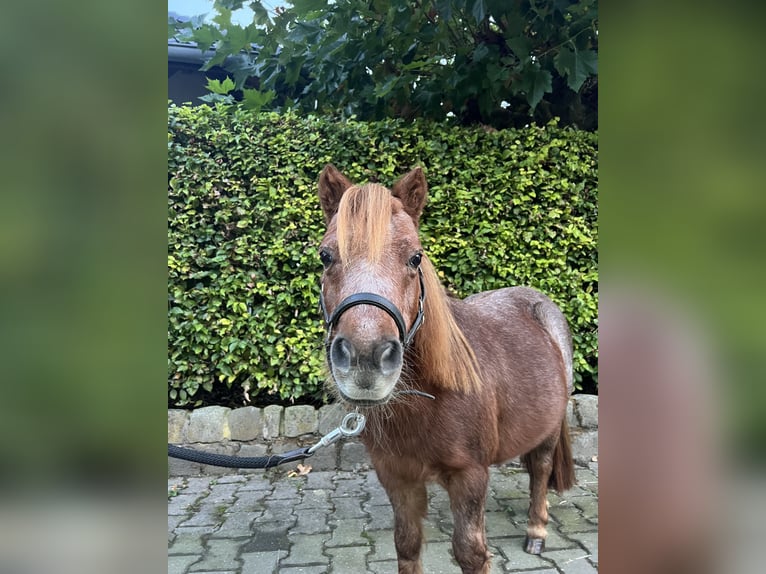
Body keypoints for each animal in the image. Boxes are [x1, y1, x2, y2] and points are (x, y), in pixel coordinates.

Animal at [316, 164, 572, 572]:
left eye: (415, 258)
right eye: (326, 256)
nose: (365, 358)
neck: (431, 398)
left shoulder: (470, 476)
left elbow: (470, 552)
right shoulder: (397, 477)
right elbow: (407, 544)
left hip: (548, 430)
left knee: (542, 469)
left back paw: (536, 531)